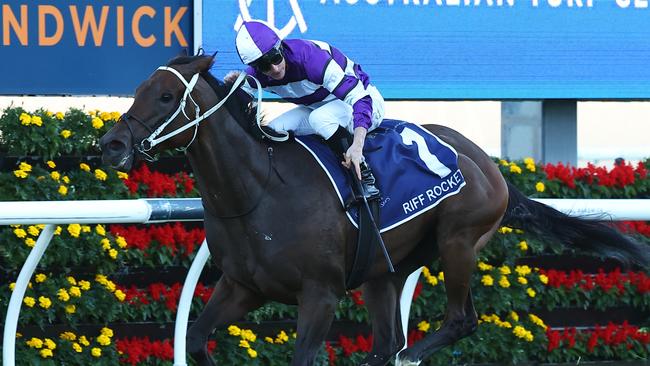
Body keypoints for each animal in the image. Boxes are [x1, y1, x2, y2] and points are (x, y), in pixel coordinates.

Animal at [98, 55, 644, 366]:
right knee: (386, 340)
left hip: (459, 240)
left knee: (455, 322)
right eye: (139, 90)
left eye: (167, 95)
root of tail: (491, 168)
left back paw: (413, 355)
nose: (112, 143)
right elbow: (194, 340)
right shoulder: (242, 286)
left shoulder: (320, 295)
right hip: (385, 270)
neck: (259, 190)